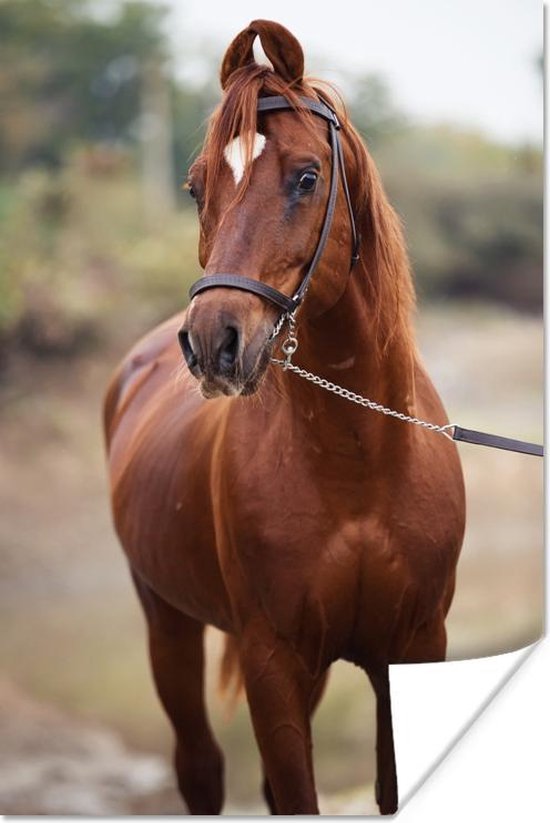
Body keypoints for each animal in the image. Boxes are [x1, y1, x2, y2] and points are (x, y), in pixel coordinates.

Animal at [104, 20, 465, 815]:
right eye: (196, 186)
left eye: (306, 177)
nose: (214, 342)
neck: (359, 464)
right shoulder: (272, 658)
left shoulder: (412, 647)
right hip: (166, 621)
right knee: (201, 768)